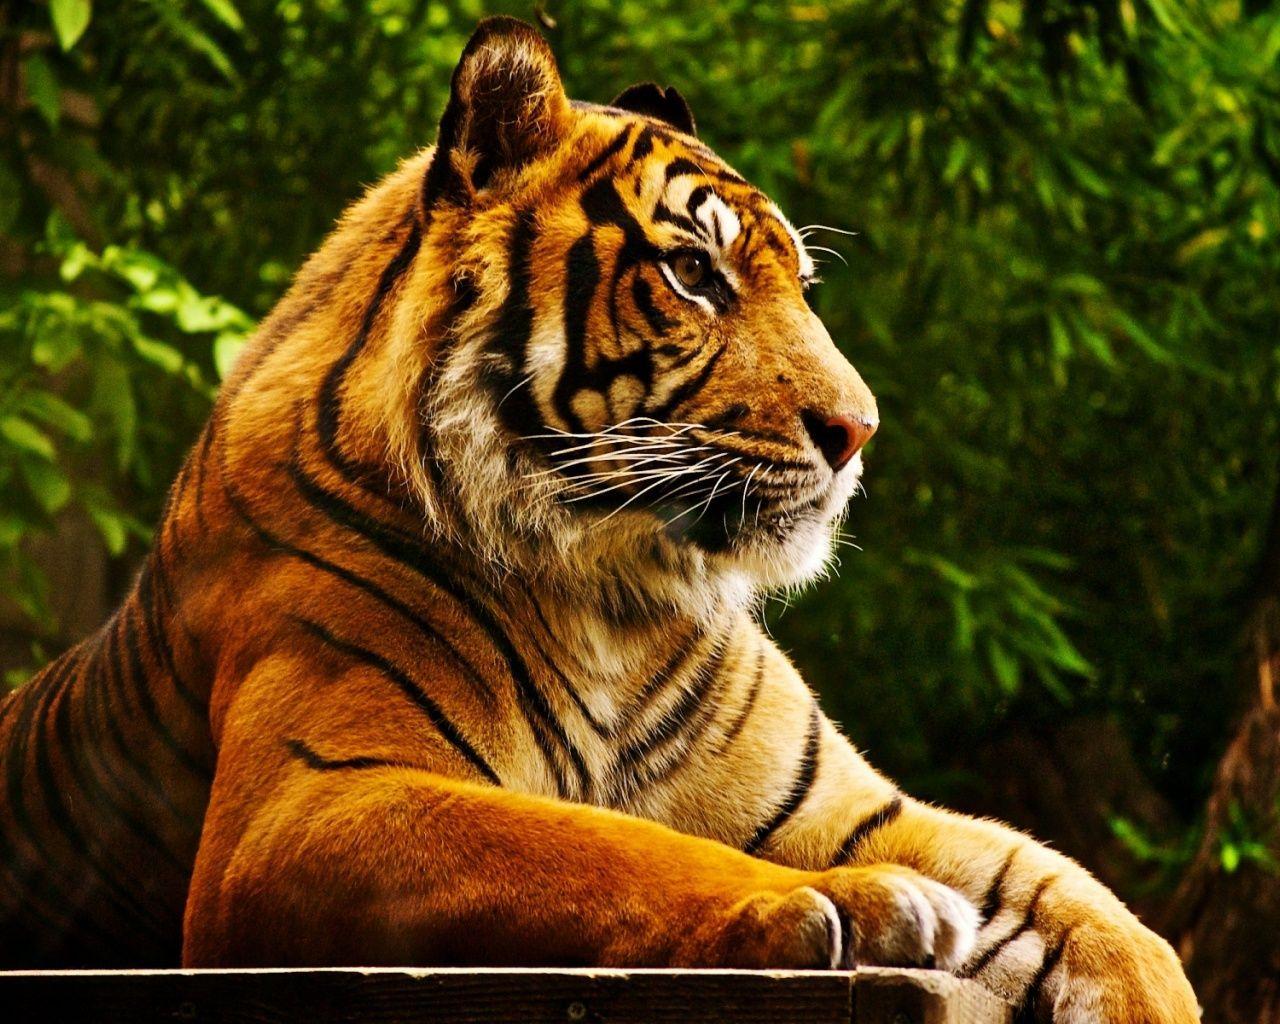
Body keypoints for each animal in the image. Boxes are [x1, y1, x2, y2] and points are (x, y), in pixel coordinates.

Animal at [0, 16, 1197, 1022]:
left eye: (802, 288)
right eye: (693, 272)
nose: (858, 430)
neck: (615, 592)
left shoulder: (852, 805)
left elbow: (1088, 905)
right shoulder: (304, 805)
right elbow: (600, 846)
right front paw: (853, 908)